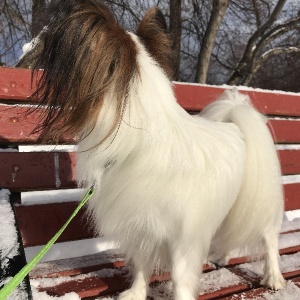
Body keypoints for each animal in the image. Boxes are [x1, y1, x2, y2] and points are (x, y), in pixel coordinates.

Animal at [31, 0, 286, 300]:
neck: (143, 142)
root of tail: (235, 119)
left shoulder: (182, 235)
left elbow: (179, 276)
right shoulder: (142, 224)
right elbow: (142, 264)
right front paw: (136, 292)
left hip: (259, 204)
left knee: (269, 239)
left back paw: (274, 277)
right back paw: (222, 257)